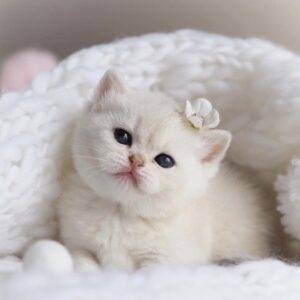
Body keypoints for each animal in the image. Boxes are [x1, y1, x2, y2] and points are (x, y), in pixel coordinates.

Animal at [57, 71, 276, 272]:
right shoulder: (77, 245)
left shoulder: (167, 261)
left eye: (165, 160)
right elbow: (84, 264)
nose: (136, 161)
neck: (120, 213)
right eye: (122, 136)